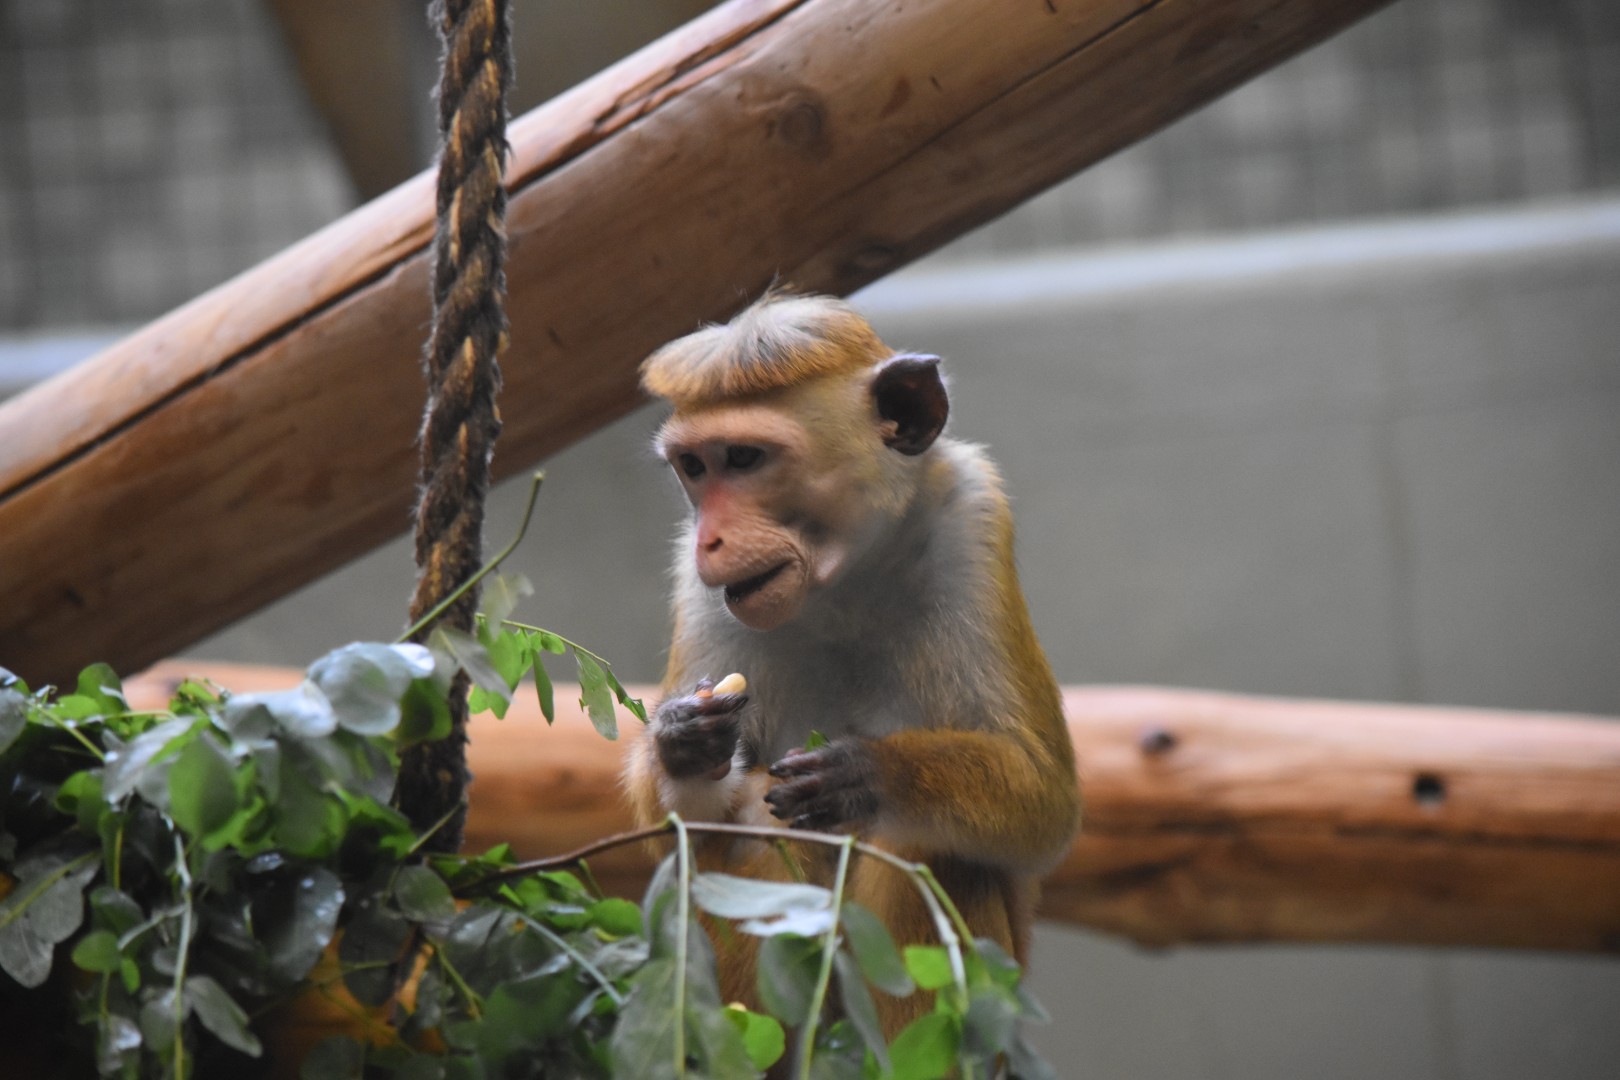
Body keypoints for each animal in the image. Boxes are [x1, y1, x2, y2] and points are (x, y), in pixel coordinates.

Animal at [624, 292, 1079, 1036]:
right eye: (694, 467)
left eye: (744, 457)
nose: (709, 539)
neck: (843, 583)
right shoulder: (699, 589)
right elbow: (680, 832)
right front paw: (683, 742)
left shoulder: (973, 523)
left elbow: (1046, 801)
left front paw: (871, 772)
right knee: (754, 829)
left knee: (925, 848)